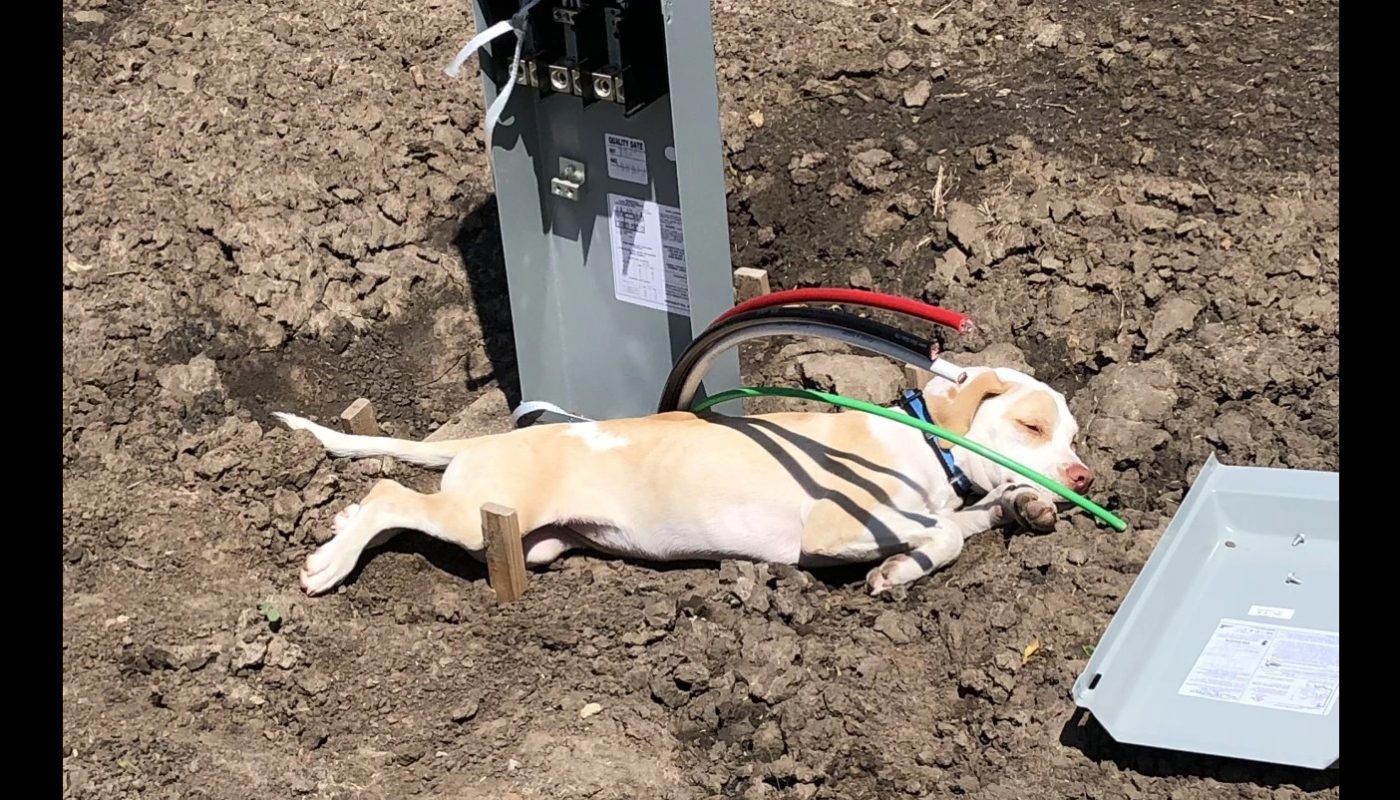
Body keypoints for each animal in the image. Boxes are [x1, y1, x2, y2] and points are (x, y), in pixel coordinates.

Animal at [275, 367, 1092, 596]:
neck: (923, 443)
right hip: (476, 513)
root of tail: (485, 441)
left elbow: (966, 520)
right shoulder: (830, 530)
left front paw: (1022, 506)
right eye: (1030, 426)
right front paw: (902, 566)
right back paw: (330, 561)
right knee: (385, 497)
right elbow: (946, 530)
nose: (1083, 472)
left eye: (1075, 434)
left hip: (531, 542)